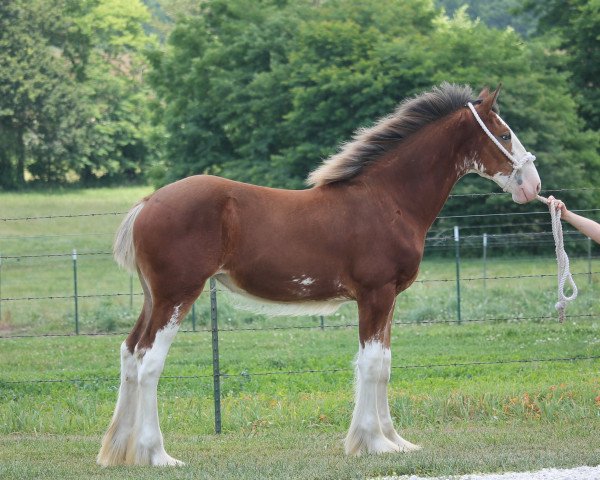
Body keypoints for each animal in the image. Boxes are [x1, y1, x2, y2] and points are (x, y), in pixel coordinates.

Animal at [97, 82, 540, 464]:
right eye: (504, 135)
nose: (533, 186)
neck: (386, 200)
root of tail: (147, 202)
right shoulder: (375, 294)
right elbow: (371, 364)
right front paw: (373, 443)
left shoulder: (389, 298)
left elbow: (384, 364)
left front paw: (396, 441)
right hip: (177, 295)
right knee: (150, 361)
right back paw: (157, 455)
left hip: (154, 298)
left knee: (130, 352)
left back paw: (119, 451)